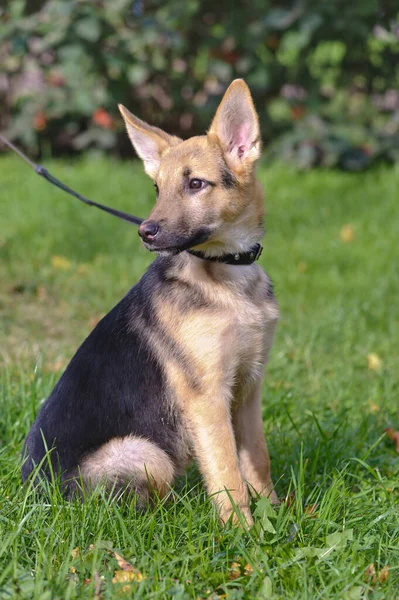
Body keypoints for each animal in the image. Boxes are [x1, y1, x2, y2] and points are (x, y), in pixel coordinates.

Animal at [21, 79, 278, 524]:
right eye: (157, 188)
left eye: (196, 184)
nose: (145, 232)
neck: (226, 273)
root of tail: (38, 495)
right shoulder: (208, 397)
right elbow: (228, 473)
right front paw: (243, 532)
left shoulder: (248, 387)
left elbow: (256, 461)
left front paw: (280, 517)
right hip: (145, 452)